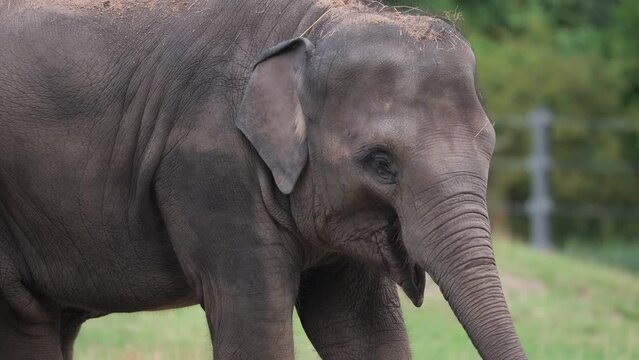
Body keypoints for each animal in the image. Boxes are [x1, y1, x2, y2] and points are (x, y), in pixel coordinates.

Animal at [0, 0, 524, 358]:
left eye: (489, 147)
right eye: (381, 163)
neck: (308, 25)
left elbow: (362, 327)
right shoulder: (211, 169)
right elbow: (254, 316)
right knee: (25, 317)